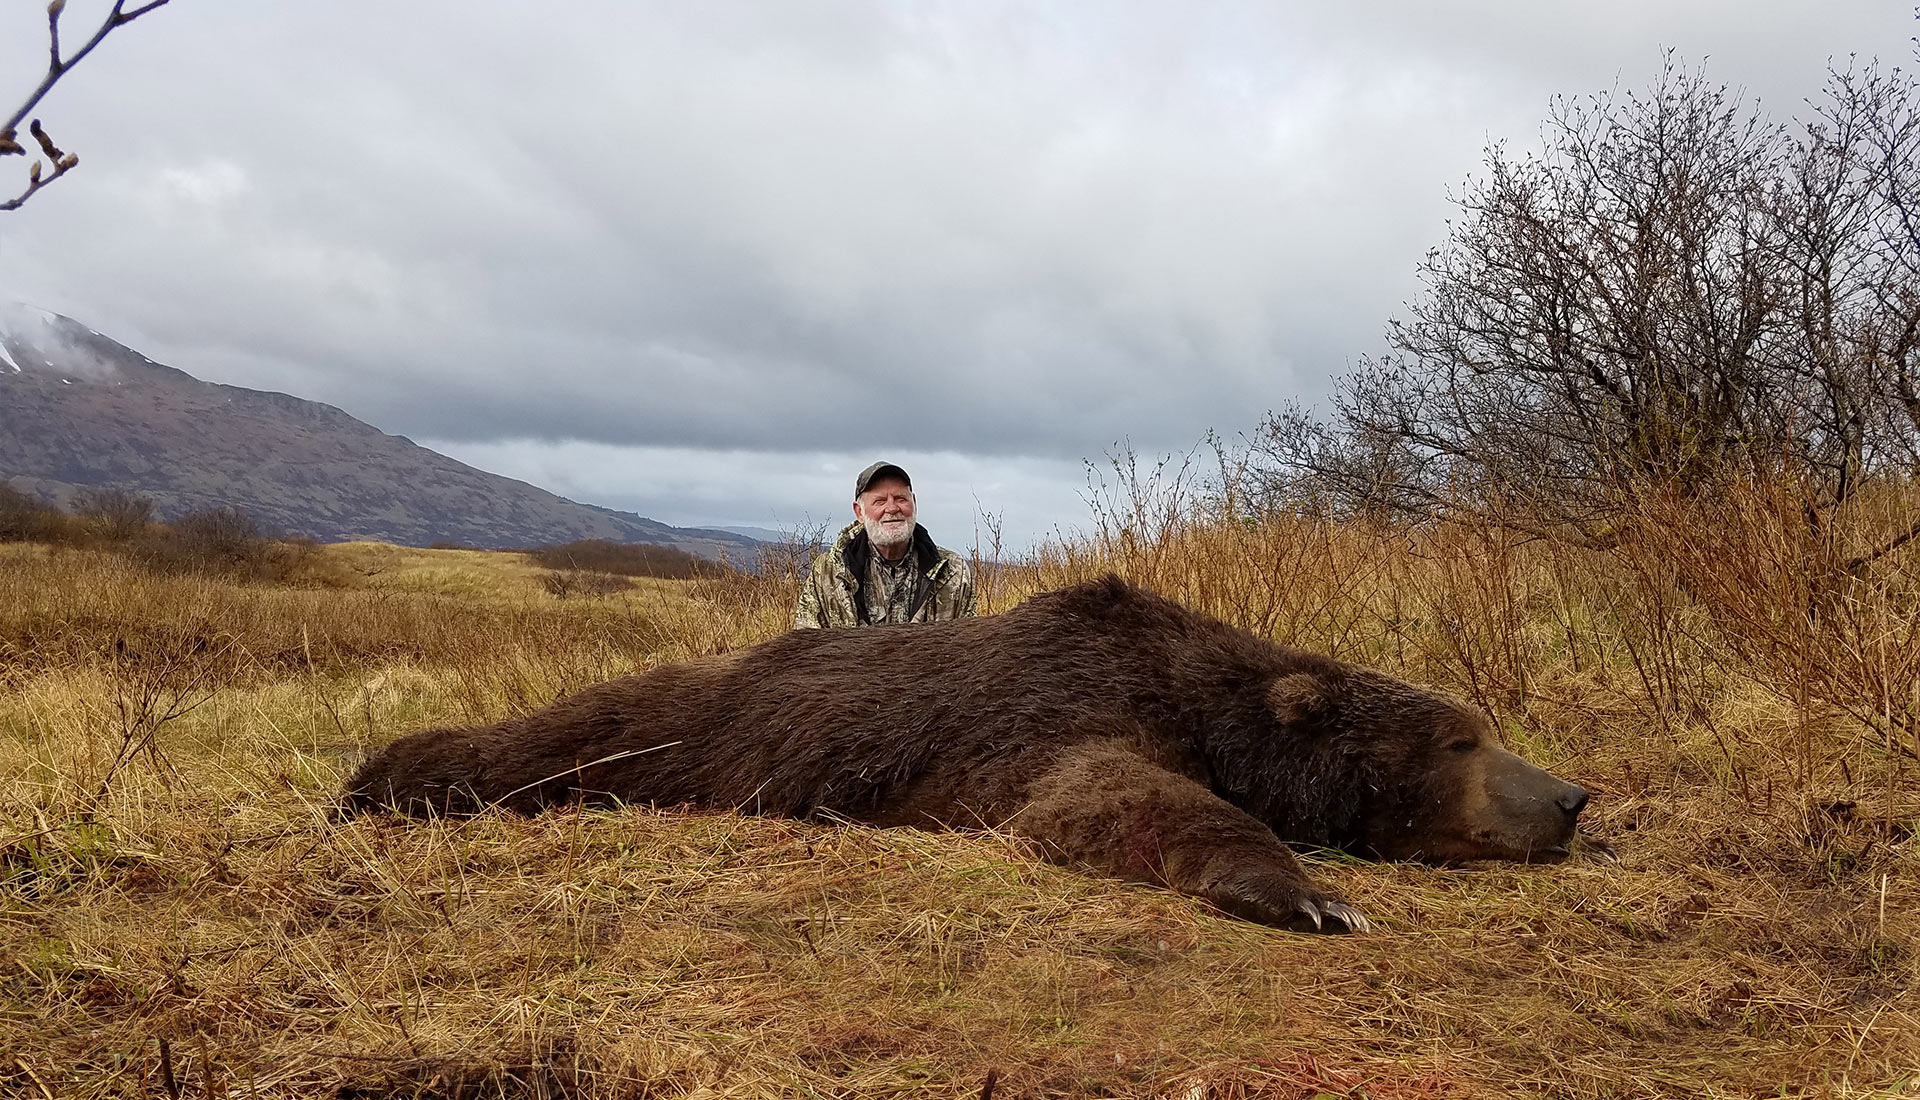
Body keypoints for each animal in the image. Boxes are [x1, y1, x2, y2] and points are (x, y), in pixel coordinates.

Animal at [343, 575, 1590, 933]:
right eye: (1461, 737)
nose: (1574, 794)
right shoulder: (1053, 716)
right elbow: (1103, 797)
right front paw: (1304, 891)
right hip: (682, 721)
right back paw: (376, 778)